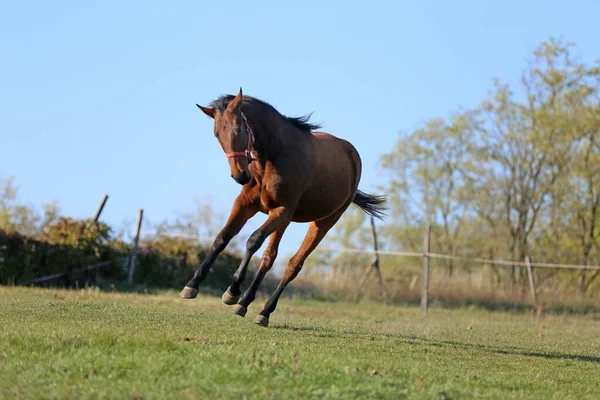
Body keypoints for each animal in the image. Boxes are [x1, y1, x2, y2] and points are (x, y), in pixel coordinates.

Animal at [179, 89, 384, 326]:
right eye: (217, 134)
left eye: (239, 129)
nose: (240, 176)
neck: (273, 156)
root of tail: (352, 156)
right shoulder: (246, 204)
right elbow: (223, 238)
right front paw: (192, 285)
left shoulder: (282, 211)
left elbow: (252, 241)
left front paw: (232, 291)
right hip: (284, 221)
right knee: (270, 257)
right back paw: (245, 303)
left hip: (322, 222)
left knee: (293, 264)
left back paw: (264, 311)